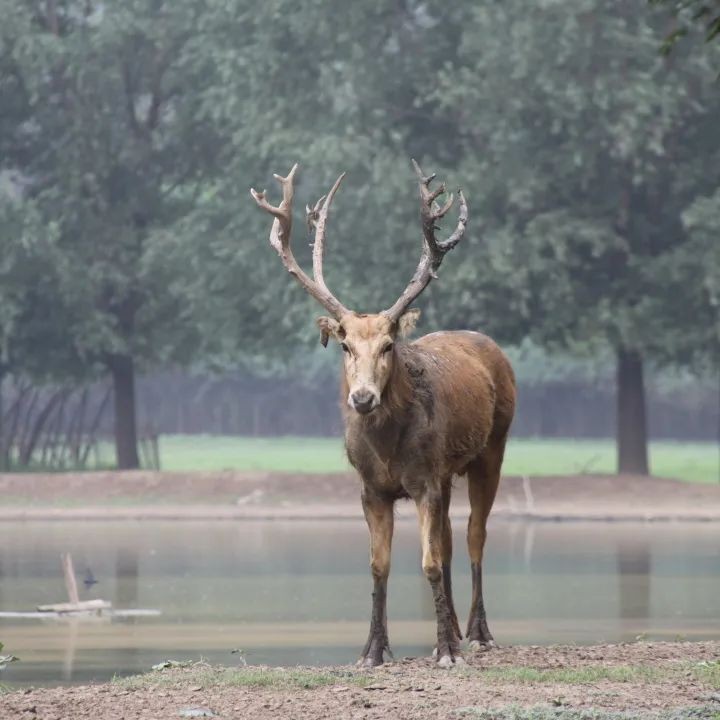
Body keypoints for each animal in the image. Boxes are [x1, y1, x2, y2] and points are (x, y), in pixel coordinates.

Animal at [250, 160, 516, 668]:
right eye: (346, 346)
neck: (389, 450)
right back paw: (454, 628)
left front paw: (447, 651)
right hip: (448, 472)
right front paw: (374, 650)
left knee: (474, 535)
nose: (362, 398)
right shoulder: (372, 487)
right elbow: (380, 564)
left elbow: (428, 562)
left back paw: (477, 633)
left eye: (389, 345)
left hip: (493, 447)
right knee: (449, 541)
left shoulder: (426, 479)